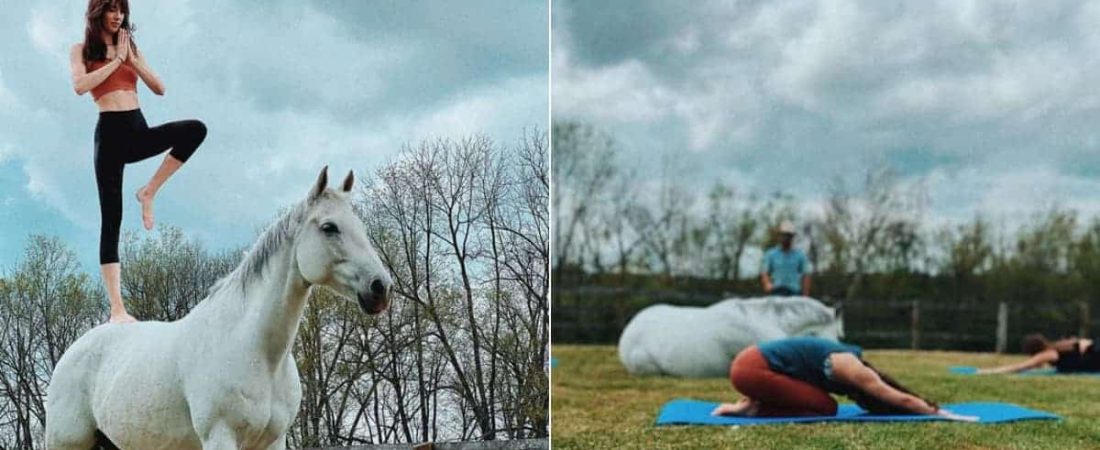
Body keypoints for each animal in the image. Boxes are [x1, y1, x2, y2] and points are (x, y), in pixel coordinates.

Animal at [45, 167, 393, 448]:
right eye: (329, 227)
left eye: (360, 226)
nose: (381, 287)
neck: (255, 351)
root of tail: (75, 350)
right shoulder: (220, 436)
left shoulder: (273, 442)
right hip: (67, 444)